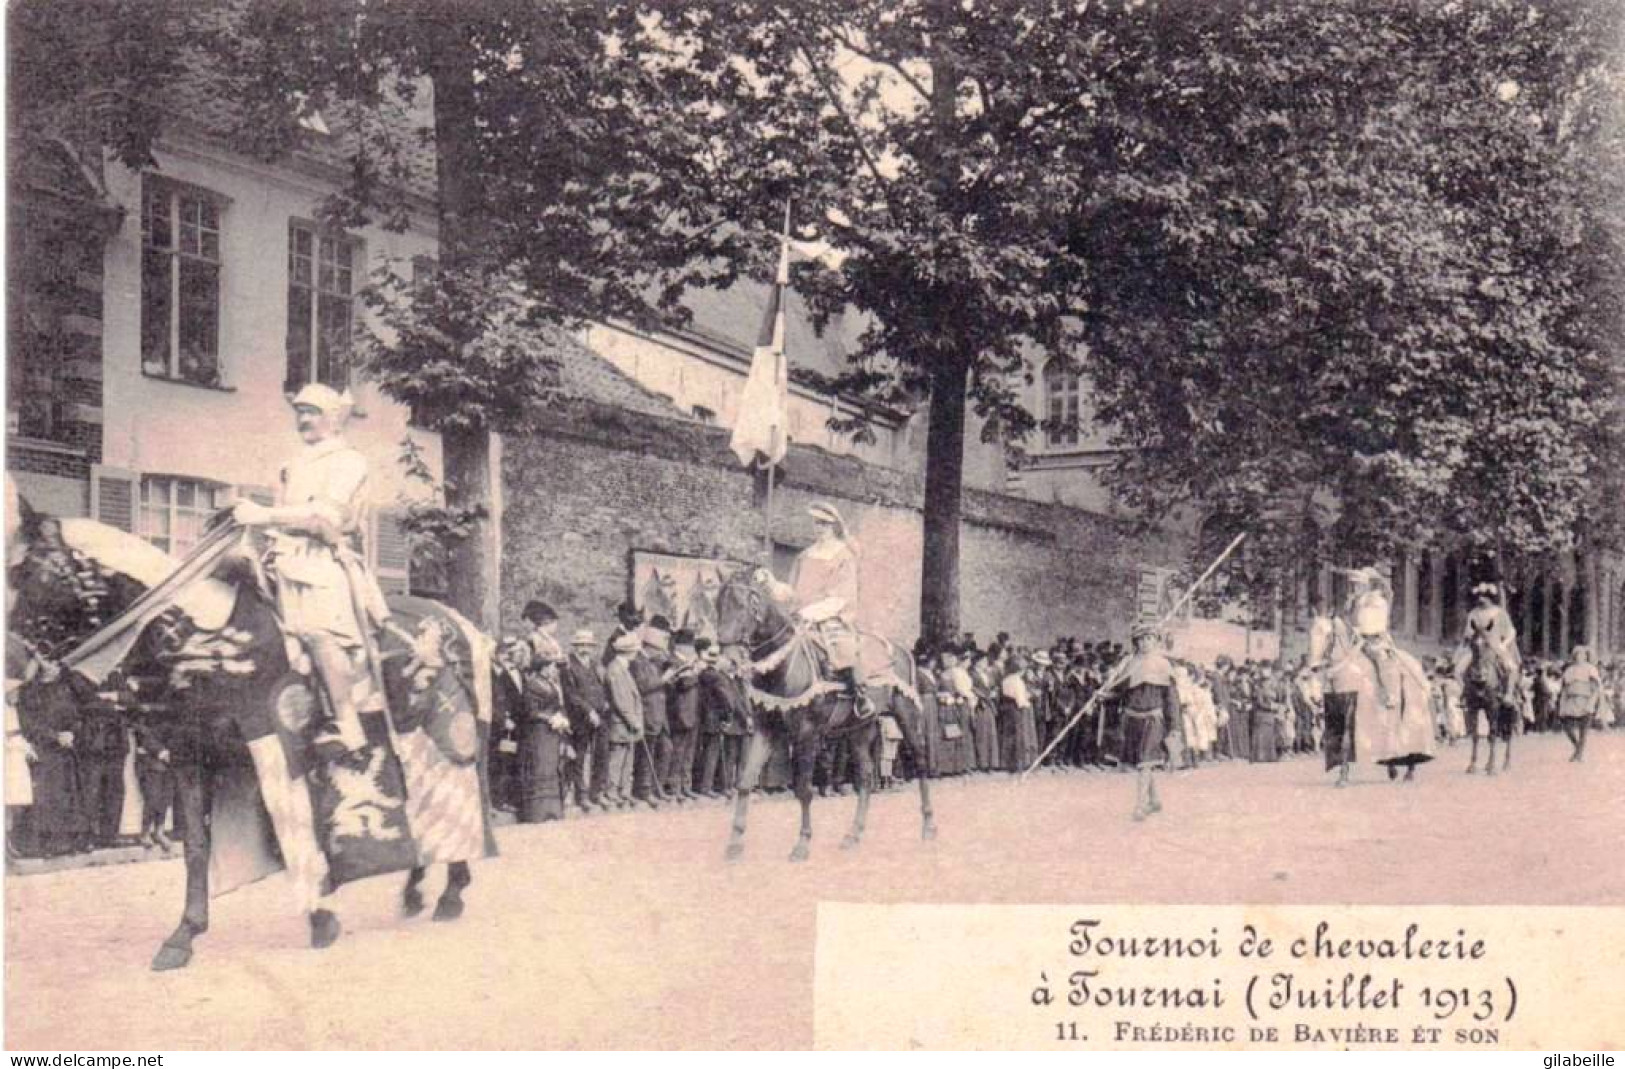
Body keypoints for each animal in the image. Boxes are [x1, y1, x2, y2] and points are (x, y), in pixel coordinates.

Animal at [9, 500, 490, 968]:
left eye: (26, 570)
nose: (18, 663)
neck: (205, 637)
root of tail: (458, 622)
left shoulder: (274, 745)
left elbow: (294, 834)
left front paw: (320, 916)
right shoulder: (189, 757)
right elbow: (197, 845)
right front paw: (184, 935)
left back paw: (452, 891)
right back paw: (415, 889)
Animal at [715, 565, 942, 857]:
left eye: (743, 605)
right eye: (718, 605)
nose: (727, 661)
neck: (783, 665)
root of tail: (902, 649)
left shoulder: (807, 735)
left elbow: (803, 789)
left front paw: (802, 843)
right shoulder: (765, 730)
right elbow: (744, 781)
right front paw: (735, 843)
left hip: (908, 717)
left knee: (921, 764)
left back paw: (929, 826)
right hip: (860, 729)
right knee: (865, 777)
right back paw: (853, 834)